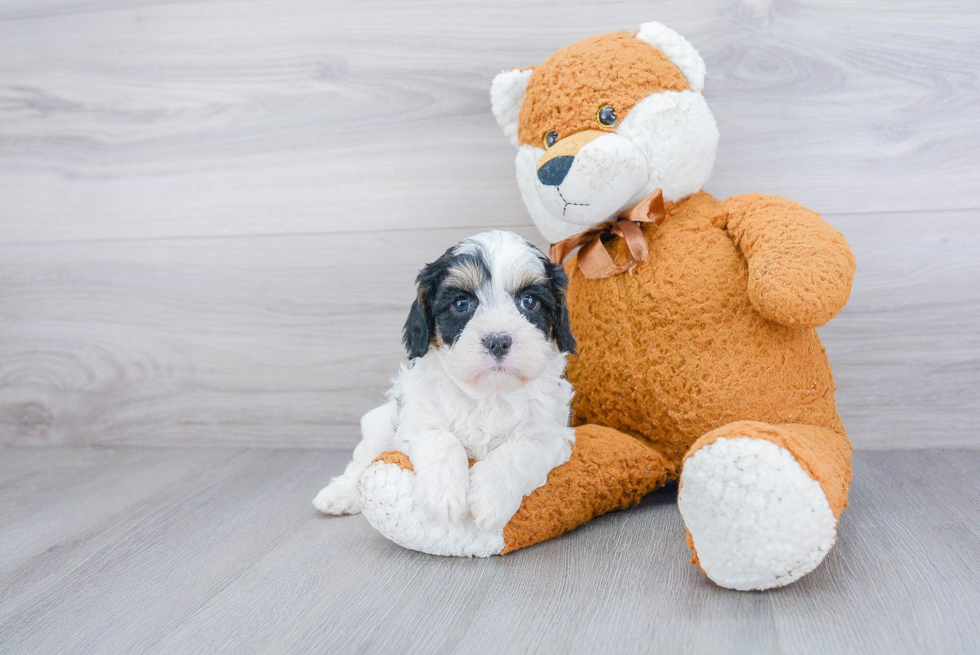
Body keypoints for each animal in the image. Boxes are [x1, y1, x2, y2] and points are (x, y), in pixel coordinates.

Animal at [312, 231, 576, 532]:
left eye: (529, 302)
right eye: (461, 304)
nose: (497, 341)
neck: (489, 394)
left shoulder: (553, 434)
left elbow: (520, 448)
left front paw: (491, 497)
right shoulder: (416, 422)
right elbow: (441, 438)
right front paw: (444, 496)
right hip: (381, 423)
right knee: (363, 458)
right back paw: (341, 493)